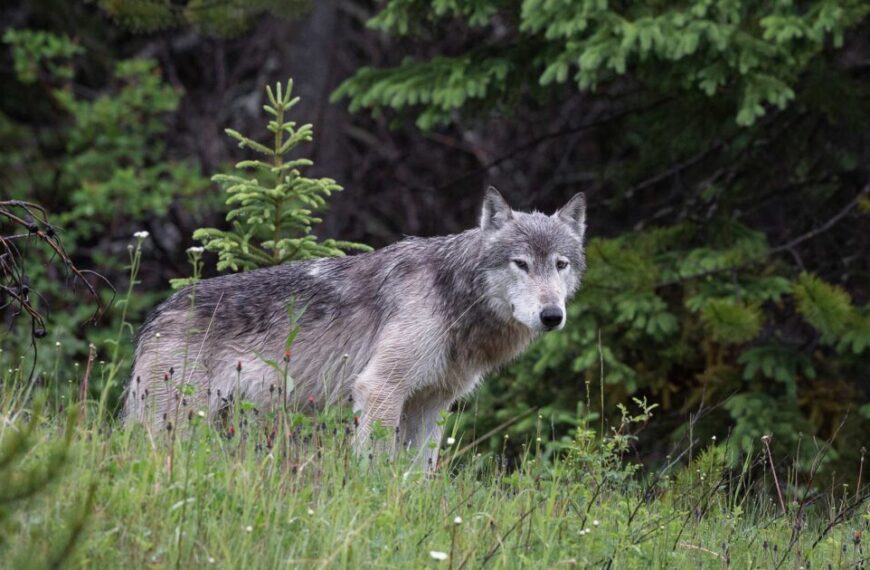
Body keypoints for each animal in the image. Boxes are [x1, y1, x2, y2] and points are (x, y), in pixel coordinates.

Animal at [124, 188, 587, 466]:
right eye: (521, 264)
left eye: (560, 264)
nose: (552, 315)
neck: (453, 296)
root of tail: (156, 315)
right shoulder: (380, 389)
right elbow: (377, 466)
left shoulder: (430, 405)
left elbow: (418, 476)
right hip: (175, 425)